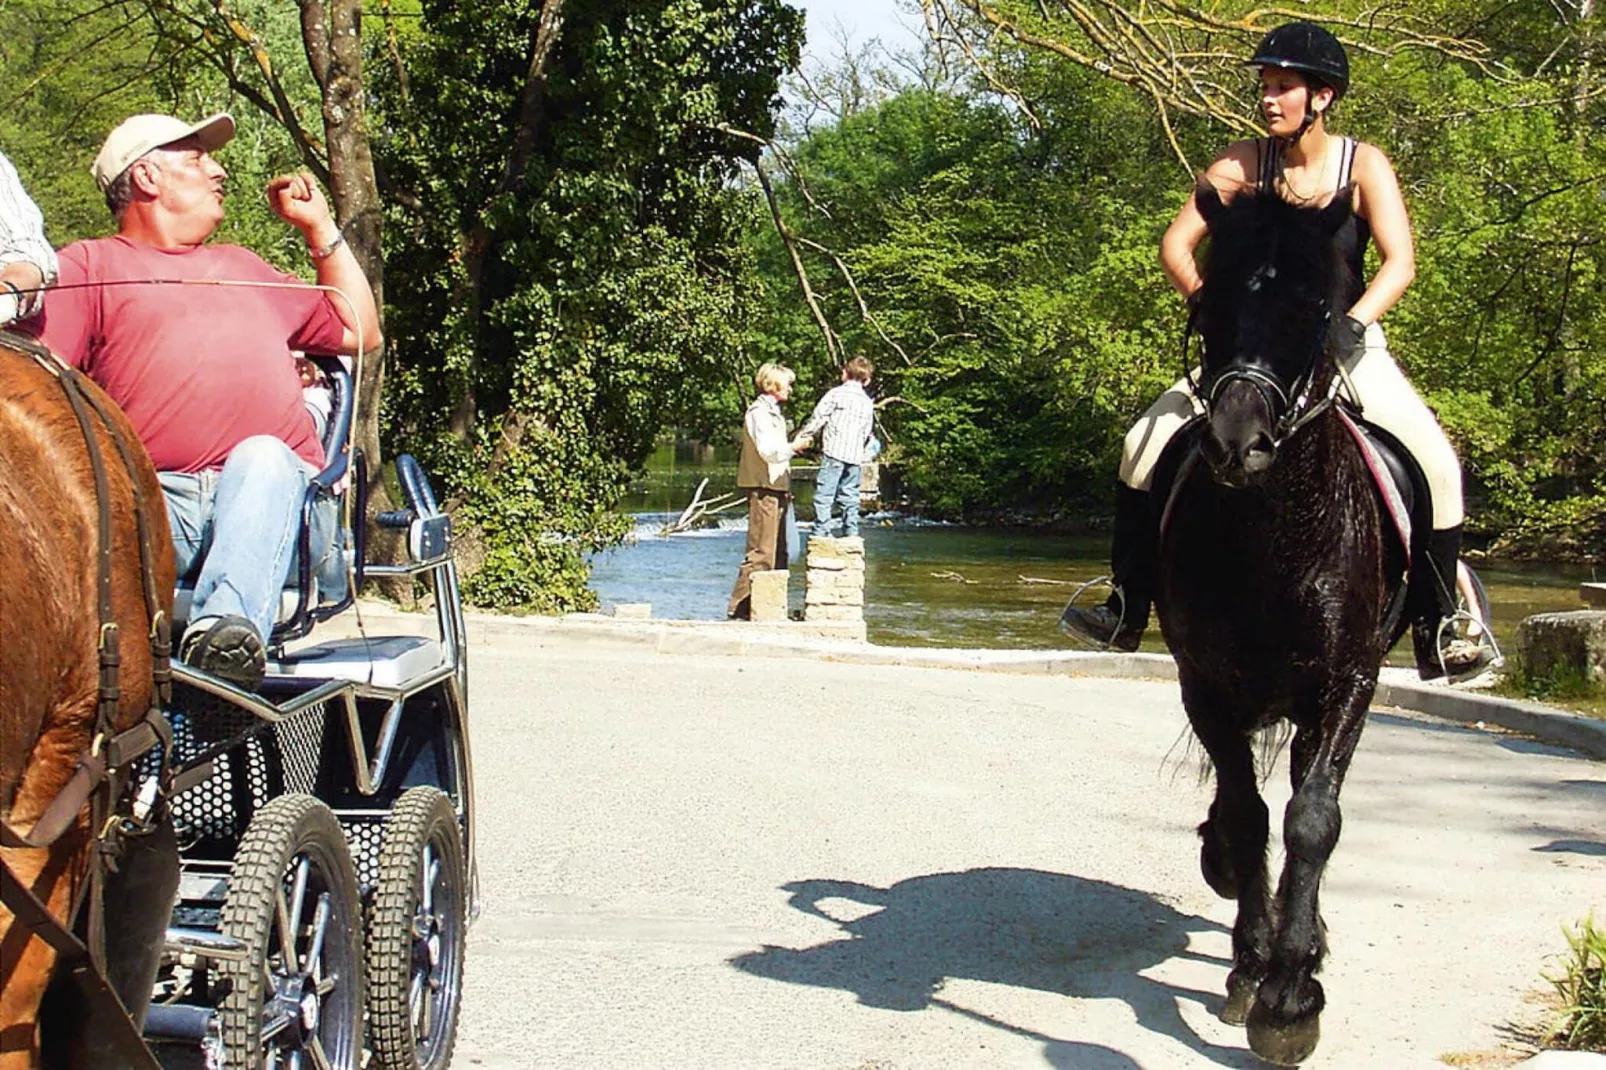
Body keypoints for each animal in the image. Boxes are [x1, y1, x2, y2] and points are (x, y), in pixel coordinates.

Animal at [1156, 181, 1406, 1060]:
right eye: (1212, 300)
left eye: (1314, 308)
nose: (1239, 442)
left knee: (1307, 795)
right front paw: (1250, 968)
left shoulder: (1350, 680)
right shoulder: (1204, 686)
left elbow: (1312, 820)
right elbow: (1247, 815)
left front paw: (1291, 996)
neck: (1276, 535)